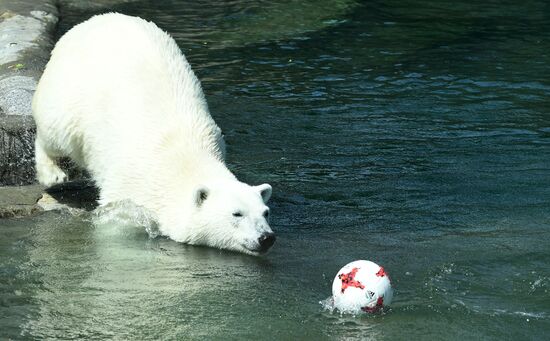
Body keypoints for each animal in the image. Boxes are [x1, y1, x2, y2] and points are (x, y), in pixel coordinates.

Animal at [31, 13, 276, 254]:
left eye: (265, 212)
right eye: (237, 213)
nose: (266, 237)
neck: (185, 158)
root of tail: (90, 22)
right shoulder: (130, 183)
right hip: (69, 94)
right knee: (55, 132)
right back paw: (53, 173)